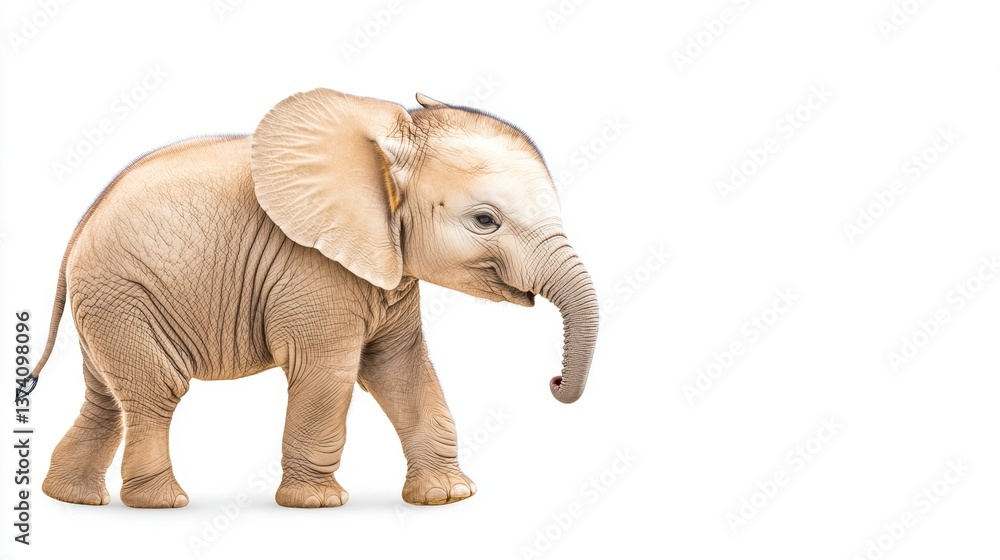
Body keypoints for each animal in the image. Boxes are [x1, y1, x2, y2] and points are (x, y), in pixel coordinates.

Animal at [24, 88, 599, 509]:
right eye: (485, 220)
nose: (552, 381)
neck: (386, 139)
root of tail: (78, 229)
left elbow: (401, 366)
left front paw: (448, 496)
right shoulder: (312, 269)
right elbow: (328, 371)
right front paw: (317, 503)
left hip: (107, 301)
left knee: (106, 398)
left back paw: (72, 498)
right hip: (124, 292)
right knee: (155, 390)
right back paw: (163, 504)